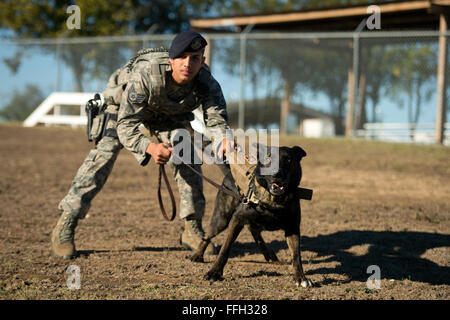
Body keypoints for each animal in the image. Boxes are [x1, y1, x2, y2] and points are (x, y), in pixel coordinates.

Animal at [190, 145, 312, 288]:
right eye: (268, 158)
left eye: (288, 159)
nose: (276, 173)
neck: (274, 201)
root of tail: (230, 172)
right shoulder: (237, 219)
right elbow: (224, 249)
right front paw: (214, 272)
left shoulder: (292, 228)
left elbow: (296, 255)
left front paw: (301, 277)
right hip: (221, 219)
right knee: (207, 235)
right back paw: (197, 255)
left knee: (254, 231)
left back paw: (268, 253)